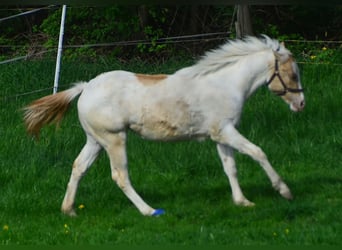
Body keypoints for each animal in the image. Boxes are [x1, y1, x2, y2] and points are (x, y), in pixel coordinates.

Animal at [23, 35, 304, 217]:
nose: (301, 103)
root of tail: (85, 88)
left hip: (96, 141)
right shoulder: (226, 131)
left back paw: (69, 210)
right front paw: (285, 191)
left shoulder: (220, 135)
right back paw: (149, 210)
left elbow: (230, 168)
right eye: (292, 74)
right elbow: (258, 152)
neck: (225, 84)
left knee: (78, 167)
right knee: (120, 176)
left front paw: (242, 202)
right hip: (115, 139)